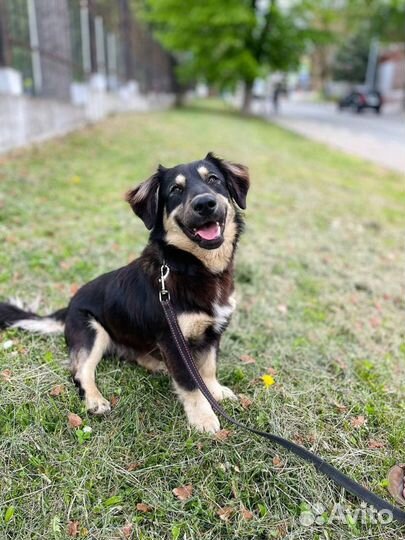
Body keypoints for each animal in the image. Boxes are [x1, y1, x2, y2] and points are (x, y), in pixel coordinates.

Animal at [0, 153, 248, 434]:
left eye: (214, 179)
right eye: (175, 190)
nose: (205, 204)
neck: (193, 268)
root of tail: (69, 305)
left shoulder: (213, 331)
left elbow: (208, 368)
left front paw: (216, 392)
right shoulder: (173, 339)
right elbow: (190, 382)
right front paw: (203, 418)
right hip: (92, 331)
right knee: (80, 372)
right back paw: (95, 400)